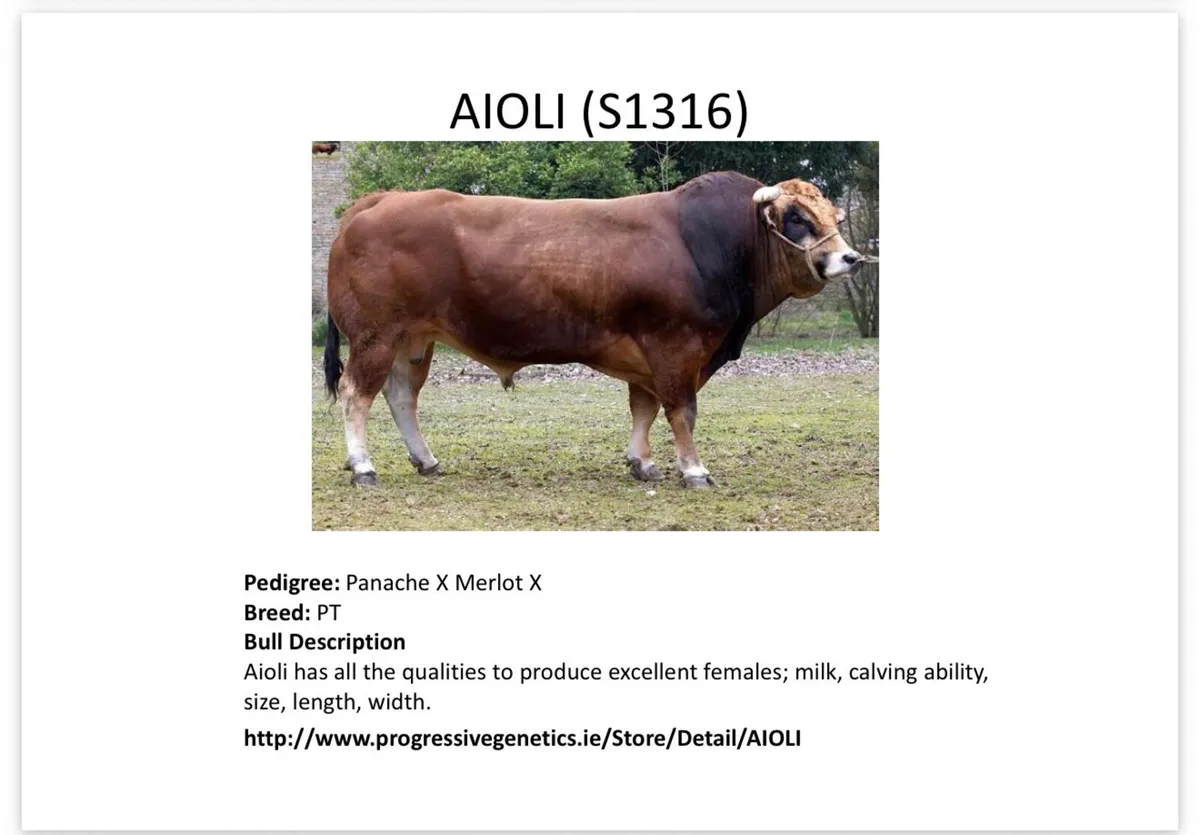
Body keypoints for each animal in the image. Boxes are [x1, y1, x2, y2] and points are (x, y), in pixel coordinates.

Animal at [323, 171, 865, 489]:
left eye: (831, 215)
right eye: (795, 217)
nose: (851, 258)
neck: (710, 241)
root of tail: (382, 200)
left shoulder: (648, 356)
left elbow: (645, 409)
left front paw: (642, 462)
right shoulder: (676, 347)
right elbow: (682, 411)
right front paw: (694, 469)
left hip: (413, 341)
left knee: (399, 396)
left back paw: (426, 459)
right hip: (375, 336)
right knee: (356, 395)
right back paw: (364, 467)